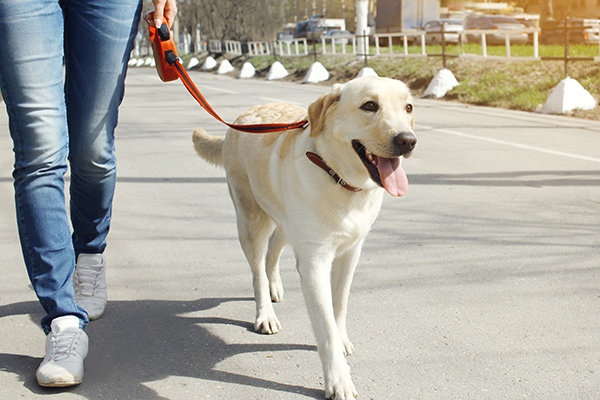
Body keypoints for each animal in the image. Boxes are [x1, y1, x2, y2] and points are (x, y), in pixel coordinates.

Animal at [193, 76, 418, 398]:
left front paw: (342, 338)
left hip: (285, 223)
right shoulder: (314, 262)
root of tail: (241, 118)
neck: (339, 180)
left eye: (408, 107)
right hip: (251, 221)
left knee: (274, 250)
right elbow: (325, 328)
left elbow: (339, 305)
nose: (407, 141)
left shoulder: (351, 253)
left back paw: (275, 287)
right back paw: (265, 313)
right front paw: (338, 379)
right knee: (257, 269)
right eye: (369, 106)